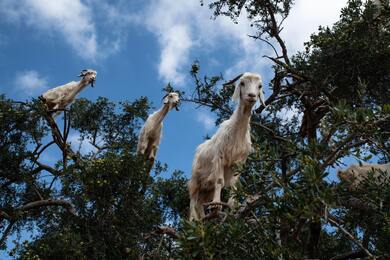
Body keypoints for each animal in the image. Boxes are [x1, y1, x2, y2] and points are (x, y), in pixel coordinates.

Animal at [187, 71, 266, 219]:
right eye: (242, 83)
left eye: (259, 86)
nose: (251, 96)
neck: (236, 131)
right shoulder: (220, 157)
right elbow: (219, 181)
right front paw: (217, 205)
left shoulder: (239, 162)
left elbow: (234, 185)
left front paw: (232, 205)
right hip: (195, 181)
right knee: (193, 202)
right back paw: (193, 220)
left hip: (206, 189)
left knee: (200, 204)